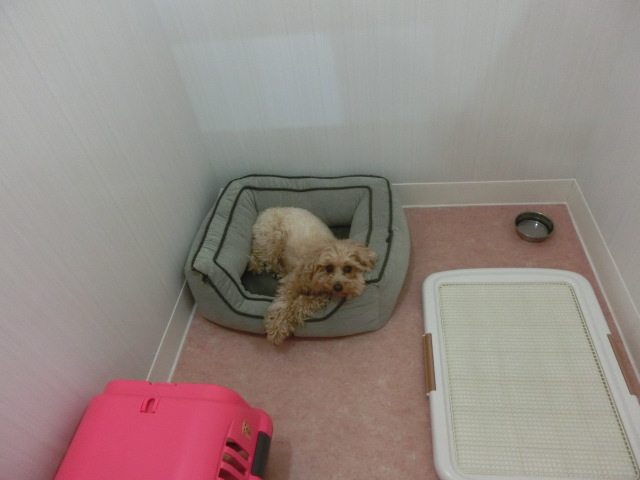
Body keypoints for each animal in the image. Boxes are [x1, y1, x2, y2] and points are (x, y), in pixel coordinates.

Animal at [248, 207, 378, 345]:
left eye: (348, 268)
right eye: (329, 268)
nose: (338, 287)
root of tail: (269, 209)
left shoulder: (322, 296)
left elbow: (301, 303)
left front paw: (291, 316)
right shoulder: (291, 283)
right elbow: (284, 303)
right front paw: (276, 328)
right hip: (272, 240)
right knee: (259, 256)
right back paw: (259, 267)